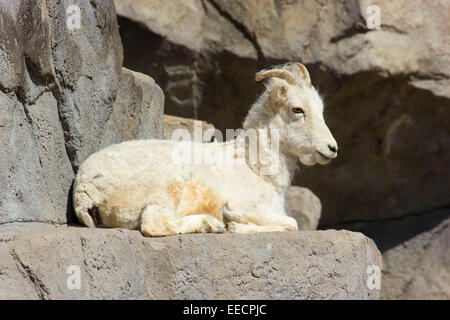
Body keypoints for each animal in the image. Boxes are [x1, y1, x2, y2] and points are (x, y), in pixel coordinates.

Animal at [73, 62, 338, 236]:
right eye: (297, 109)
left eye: (321, 109)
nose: (332, 148)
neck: (253, 167)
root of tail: (84, 188)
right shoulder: (247, 205)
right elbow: (292, 223)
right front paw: (233, 224)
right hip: (167, 187)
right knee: (154, 224)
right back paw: (211, 225)